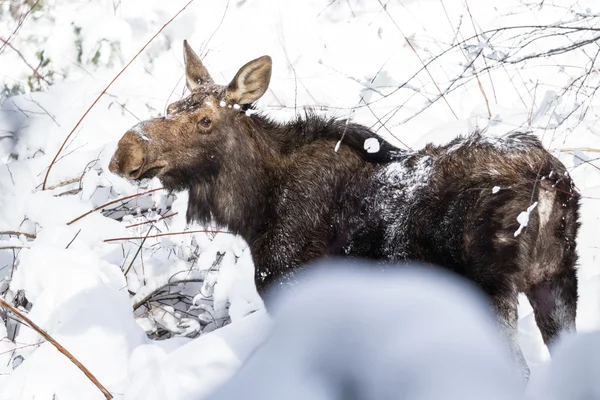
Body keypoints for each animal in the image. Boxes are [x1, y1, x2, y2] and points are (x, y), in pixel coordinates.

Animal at [109, 39, 580, 378]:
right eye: (170, 107)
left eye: (205, 120)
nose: (125, 150)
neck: (254, 210)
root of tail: (547, 179)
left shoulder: (292, 286)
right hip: (555, 277)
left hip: (491, 286)